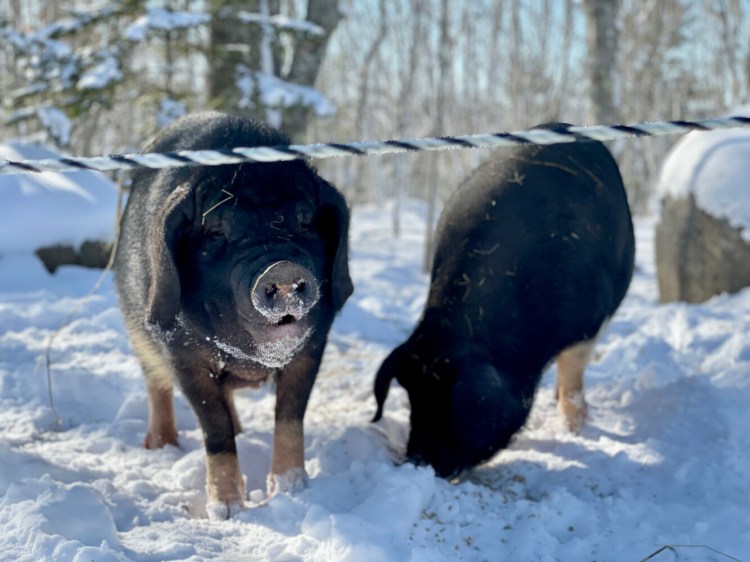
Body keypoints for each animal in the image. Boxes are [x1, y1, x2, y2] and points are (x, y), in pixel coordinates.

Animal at [374, 126, 636, 476]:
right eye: (413, 397)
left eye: (451, 403)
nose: (417, 461)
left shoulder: (589, 320)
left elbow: (573, 375)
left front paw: (574, 431)